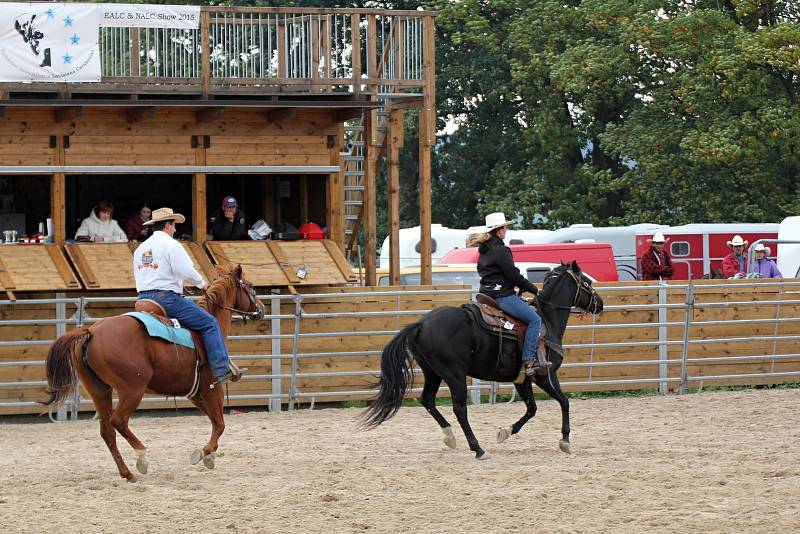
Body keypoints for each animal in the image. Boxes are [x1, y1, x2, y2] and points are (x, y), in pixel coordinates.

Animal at [43, 266, 264, 484]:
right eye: (250, 285)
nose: (261, 309)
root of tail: (91, 332)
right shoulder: (212, 386)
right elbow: (220, 423)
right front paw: (205, 454)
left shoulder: (194, 393)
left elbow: (215, 420)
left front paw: (209, 455)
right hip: (132, 389)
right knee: (118, 421)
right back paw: (142, 457)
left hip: (99, 390)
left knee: (107, 430)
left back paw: (127, 473)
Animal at [362, 262, 600, 460]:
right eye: (587, 283)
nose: (600, 303)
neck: (547, 322)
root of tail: (421, 324)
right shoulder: (545, 374)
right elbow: (564, 401)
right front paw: (565, 441)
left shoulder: (522, 379)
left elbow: (532, 408)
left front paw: (505, 432)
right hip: (454, 375)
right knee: (459, 409)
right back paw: (478, 449)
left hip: (433, 372)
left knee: (427, 400)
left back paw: (450, 436)